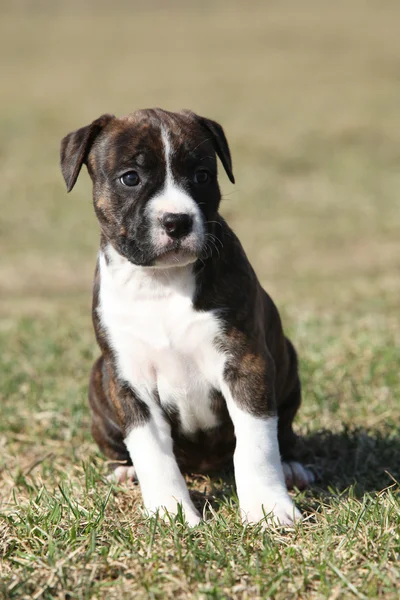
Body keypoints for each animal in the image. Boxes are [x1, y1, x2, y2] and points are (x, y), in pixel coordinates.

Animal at [60, 108, 312, 524]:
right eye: (131, 178)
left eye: (202, 176)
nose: (176, 221)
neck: (162, 282)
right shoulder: (130, 380)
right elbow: (152, 454)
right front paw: (170, 512)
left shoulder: (246, 363)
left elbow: (256, 444)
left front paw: (269, 508)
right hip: (100, 379)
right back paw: (125, 471)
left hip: (286, 363)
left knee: (283, 432)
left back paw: (291, 466)